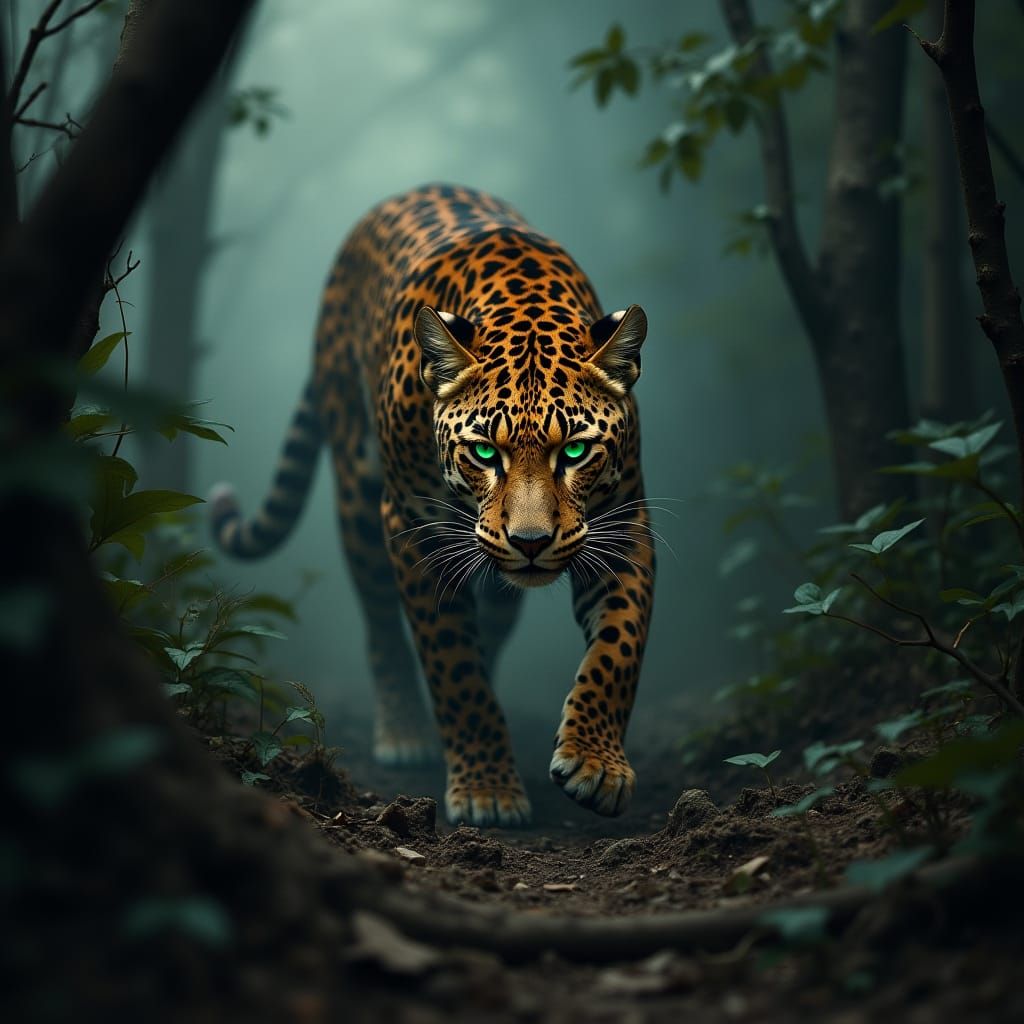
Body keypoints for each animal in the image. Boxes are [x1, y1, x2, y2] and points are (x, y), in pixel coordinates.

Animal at [210, 184, 655, 827]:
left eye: (574, 450)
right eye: (484, 451)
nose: (530, 543)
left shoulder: (624, 524)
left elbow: (620, 645)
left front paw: (596, 764)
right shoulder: (415, 529)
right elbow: (453, 666)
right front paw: (488, 789)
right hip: (358, 495)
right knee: (381, 624)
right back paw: (403, 731)